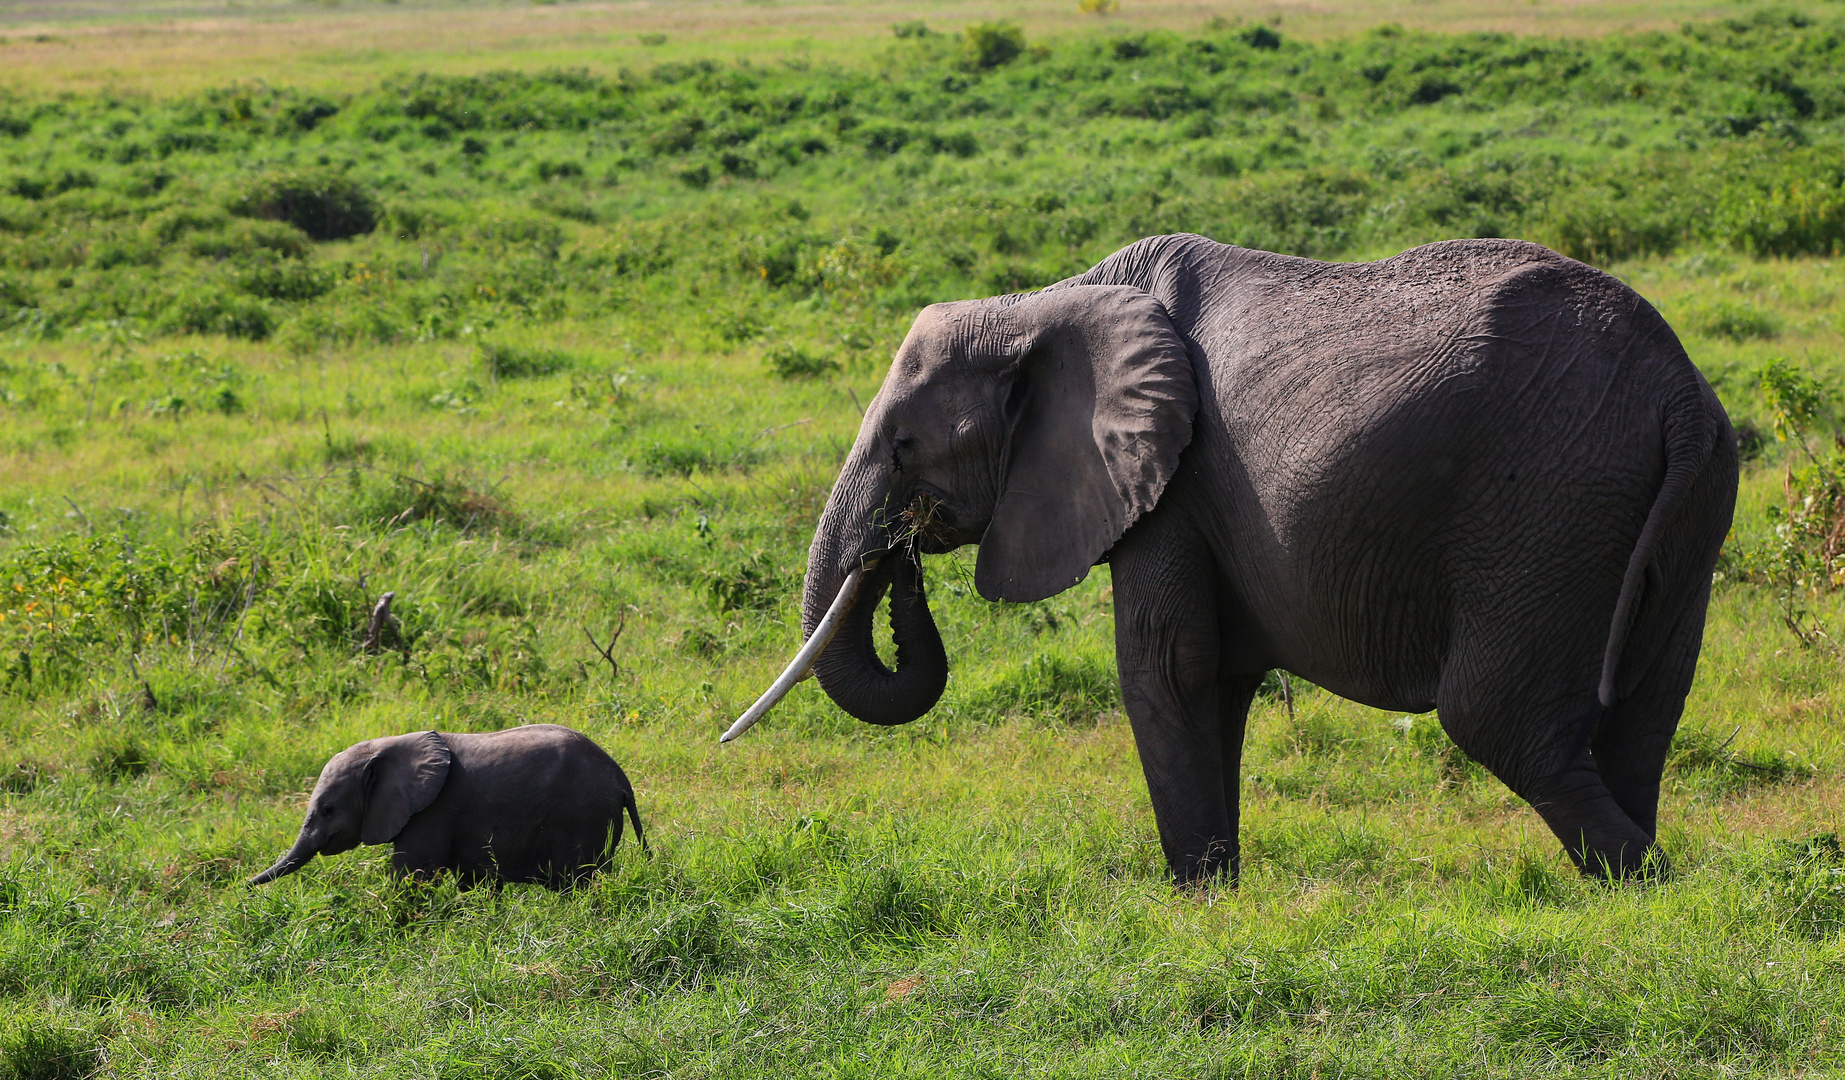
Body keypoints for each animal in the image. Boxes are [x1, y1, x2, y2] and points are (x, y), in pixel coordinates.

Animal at [249, 723, 645, 886]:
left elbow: (412, 878)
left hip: (584, 816)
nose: (245, 887)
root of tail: (621, 778)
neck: (389, 744)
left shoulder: (432, 812)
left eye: (328, 809)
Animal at [726, 231, 1734, 878]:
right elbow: (1214, 679)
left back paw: (1645, 887)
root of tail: (1677, 390)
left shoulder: (1169, 482)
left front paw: (1195, 895)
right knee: (1644, 710)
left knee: (1497, 720)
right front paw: (1222, 886)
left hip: (1549, 502)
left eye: (903, 446)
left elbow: (1166, 666)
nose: (898, 555)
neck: (1045, 302)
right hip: (1675, 511)